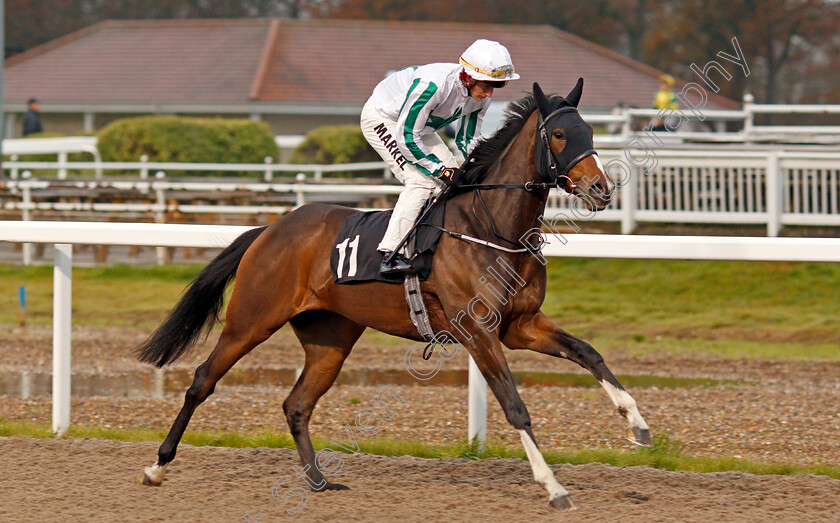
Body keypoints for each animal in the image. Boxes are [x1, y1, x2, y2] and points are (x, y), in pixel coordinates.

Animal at [138, 81, 652, 512]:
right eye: (561, 134)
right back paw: (156, 467)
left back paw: (319, 481)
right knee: (203, 380)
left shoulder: (519, 326)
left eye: (591, 131)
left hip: (331, 339)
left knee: (297, 404)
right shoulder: (479, 332)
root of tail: (270, 229)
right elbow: (514, 405)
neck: (491, 227)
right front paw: (553, 486)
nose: (602, 188)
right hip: (252, 320)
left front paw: (638, 424)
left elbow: (588, 352)